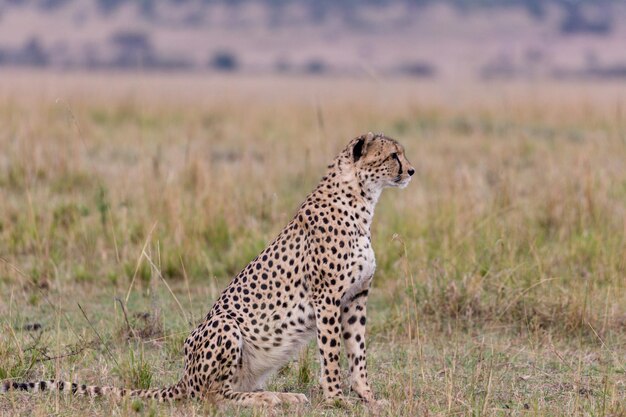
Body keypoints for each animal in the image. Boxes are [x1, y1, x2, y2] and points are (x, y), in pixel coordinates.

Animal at [2, 132, 412, 406]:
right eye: (393, 154)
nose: (411, 169)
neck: (361, 200)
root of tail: (185, 375)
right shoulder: (327, 297)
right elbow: (331, 353)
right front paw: (336, 398)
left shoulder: (356, 297)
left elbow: (357, 351)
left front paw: (368, 397)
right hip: (225, 325)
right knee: (215, 396)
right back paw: (274, 400)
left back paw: (281, 395)